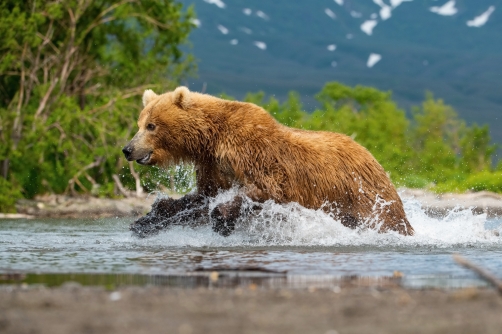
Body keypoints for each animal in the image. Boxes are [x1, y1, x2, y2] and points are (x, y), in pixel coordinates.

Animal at [123, 86, 414, 237]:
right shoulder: (212, 165)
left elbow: (268, 187)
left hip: (360, 194)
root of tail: (371, 156)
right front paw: (147, 218)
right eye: (139, 123)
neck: (210, 139)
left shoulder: (252, 150)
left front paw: (222, 218)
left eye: (151, 125)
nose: (128, 149)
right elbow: (202, 196)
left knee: (385, 219)